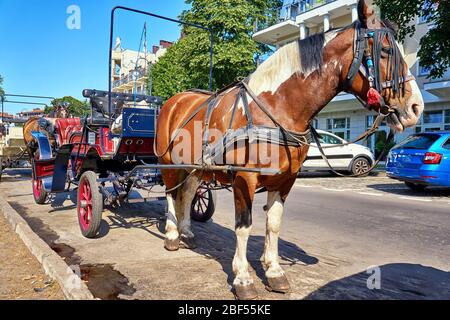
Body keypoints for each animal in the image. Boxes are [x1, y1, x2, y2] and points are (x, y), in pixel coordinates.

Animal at [156, 0, 426, 300]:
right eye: (386, 51)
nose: (416, 107)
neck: (276, 108)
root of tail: (176, 100)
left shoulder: (285, 179)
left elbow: (273, 223)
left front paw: (274, 271)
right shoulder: (244, 178)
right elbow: (244, 225)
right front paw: (242, 277)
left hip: (194, 167)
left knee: (188, 193)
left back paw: (186, 232)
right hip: (168, 162)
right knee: (171, 195)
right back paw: (172, 235)